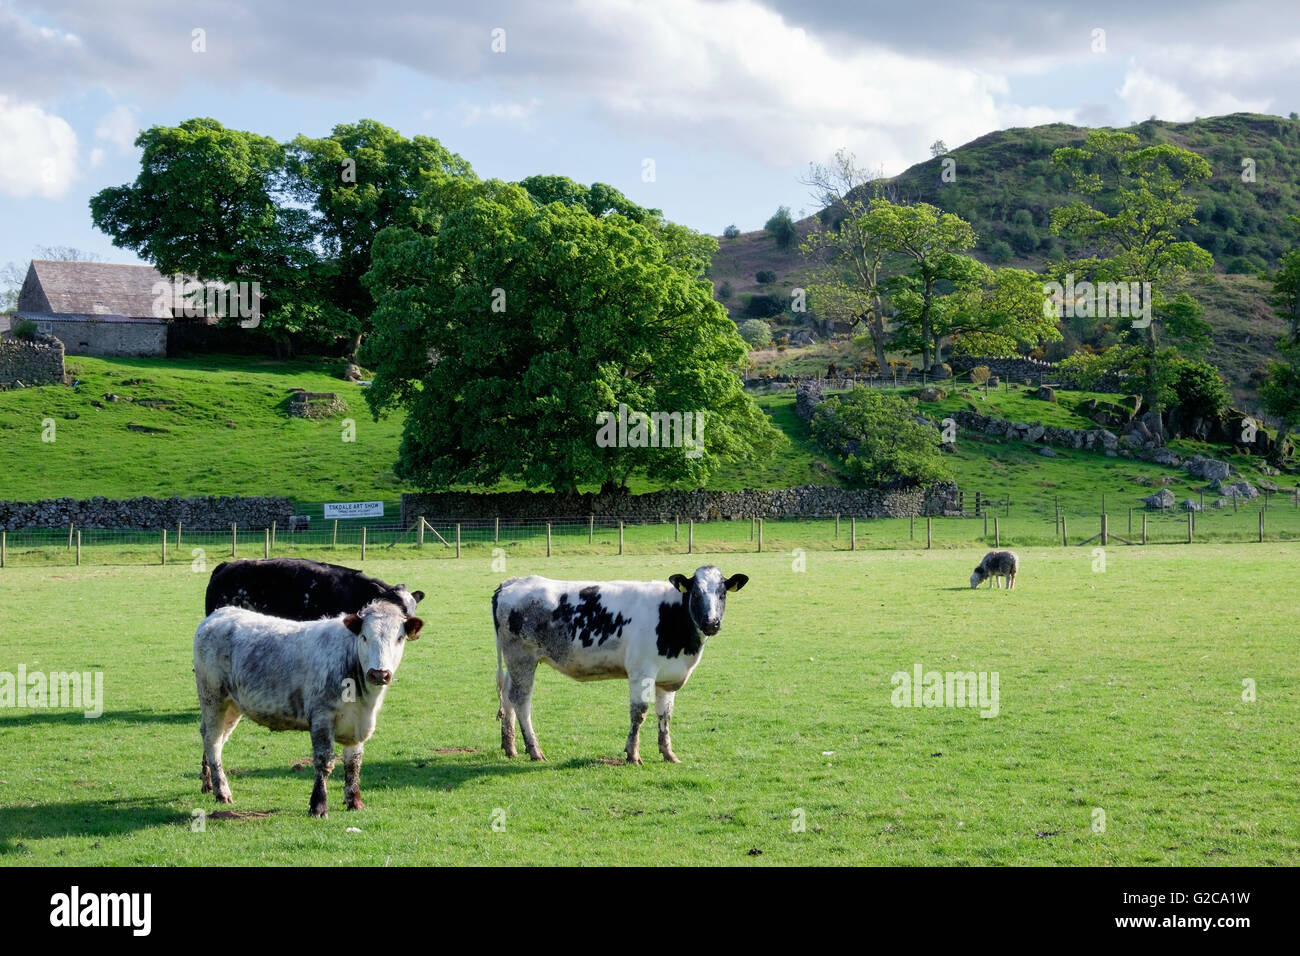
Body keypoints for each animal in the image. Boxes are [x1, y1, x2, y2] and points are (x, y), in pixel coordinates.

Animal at [195, 598, 423, 816]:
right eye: (365, 637)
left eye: (399, 638)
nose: (379, 674)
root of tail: (220, 613)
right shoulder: (321, 717)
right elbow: (324, 762)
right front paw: (318, 806)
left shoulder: (357, 725)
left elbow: (353, 763)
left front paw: (354, 801)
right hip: (212, 698)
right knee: (213, 740)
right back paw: (222, 791)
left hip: (233, 706)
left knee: (217, 739)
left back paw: (209, 783)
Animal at [488, 567, 754, 764]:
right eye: (696, 594)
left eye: (722, 594)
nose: (711, 623)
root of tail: (513, 582)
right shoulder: (641, 672)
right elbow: (639, 713)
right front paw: (633, 755)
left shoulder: (667, 678)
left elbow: (665, 715)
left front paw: (668, 754)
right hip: (522, 658)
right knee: (522, 700)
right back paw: (534, 750)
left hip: (516, 662)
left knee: (508, 696)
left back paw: (510, 747)